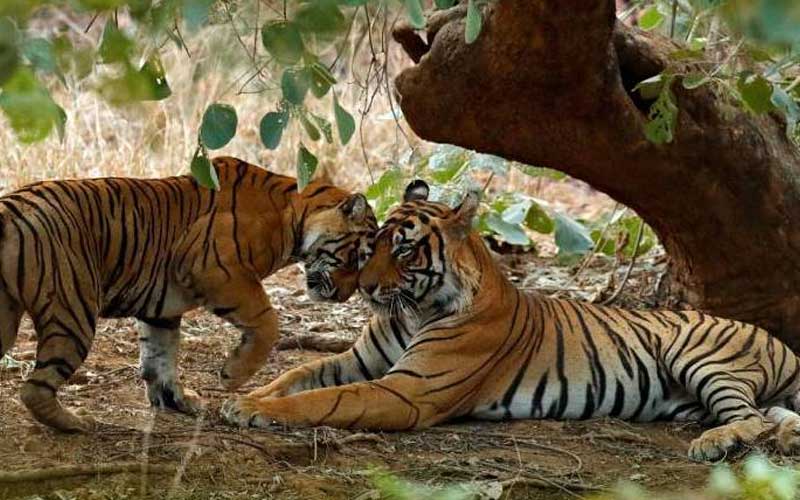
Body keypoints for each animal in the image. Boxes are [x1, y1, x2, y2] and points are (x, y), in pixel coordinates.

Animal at [0, 156, 377, 432]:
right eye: (356, 257)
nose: (343, 296)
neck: (292, 215)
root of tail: (9, 206)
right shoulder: (219, 271)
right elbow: (268, 322)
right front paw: (232, 375)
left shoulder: (161, 308)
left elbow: (160, 356)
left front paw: (175, 401)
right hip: (73, 310)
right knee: (34, 388)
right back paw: (77, 424)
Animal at [223, 179, 800, 462]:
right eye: (373, 244)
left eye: (403, 250)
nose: (364, 288)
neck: (413, 311)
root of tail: (782, 343)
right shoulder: (357, 360)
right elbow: (297, 374)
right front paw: (240, 395)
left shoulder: (407, 390)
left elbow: (324, 399)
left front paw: (252, 410)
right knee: (770, 415)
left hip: (703, 358)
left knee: (749, 418)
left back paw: (715, 443)